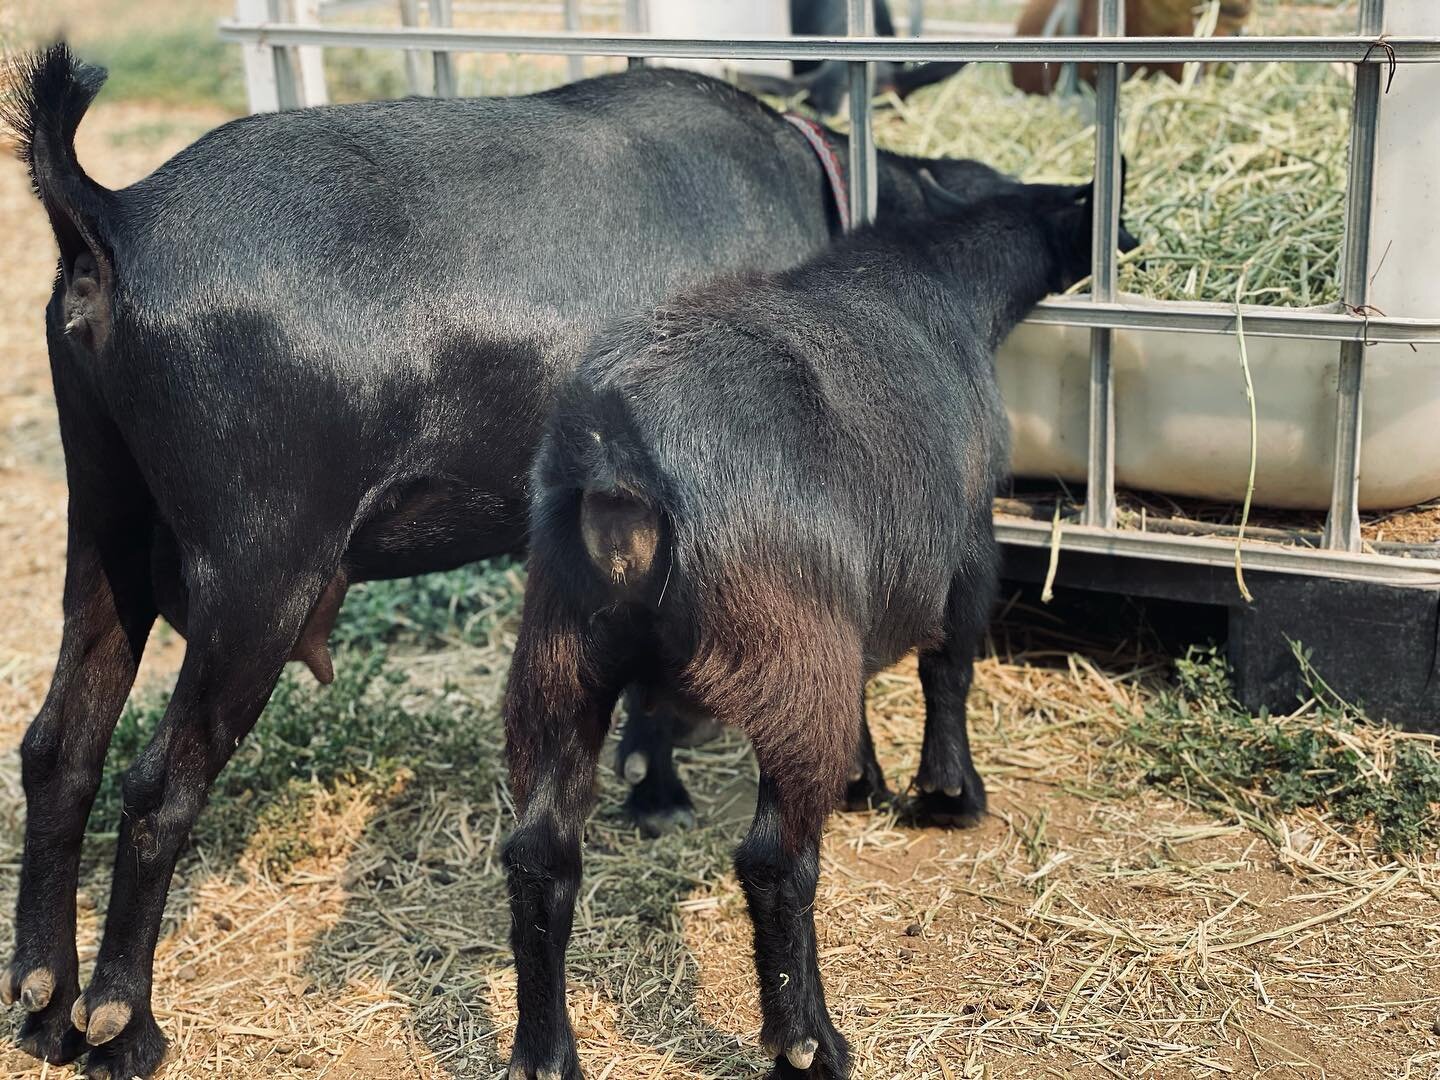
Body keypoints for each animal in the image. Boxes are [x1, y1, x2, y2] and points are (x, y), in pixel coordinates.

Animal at [0, 42, 1059, 1080]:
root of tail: (112, 221)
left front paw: (655, 785)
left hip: (108, 525)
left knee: (61, 746)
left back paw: (46, 1003)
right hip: (258, 574)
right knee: (157, 789)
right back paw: (122, 1028)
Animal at [504, 175, 1134, 1077]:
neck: (940, 280)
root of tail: (620, 468)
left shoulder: (853, 607)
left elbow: (870, 680)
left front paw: (866, 778)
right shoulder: (966, 549)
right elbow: (948, 668)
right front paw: (948, 793)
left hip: (561, 660)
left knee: (541, 853)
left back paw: (545, 1053)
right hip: (788, 655)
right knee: (775, 861)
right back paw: (808, 1041)